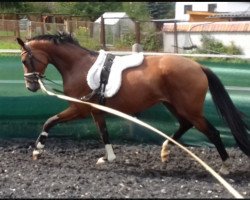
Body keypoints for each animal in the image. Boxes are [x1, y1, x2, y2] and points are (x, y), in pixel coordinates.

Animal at [16, 32, 249, 173]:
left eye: (25, 60)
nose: (30, 86)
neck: (79, 66)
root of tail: (198, 66)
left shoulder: (79, 108)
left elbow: (50, 121)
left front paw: (37, 151)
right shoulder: (96, 110)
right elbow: (103, 133)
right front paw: (108, 158)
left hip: (189, 109)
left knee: (212, 132)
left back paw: (225, 166)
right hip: (174, 106)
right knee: (185, 125)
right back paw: (165, 151)